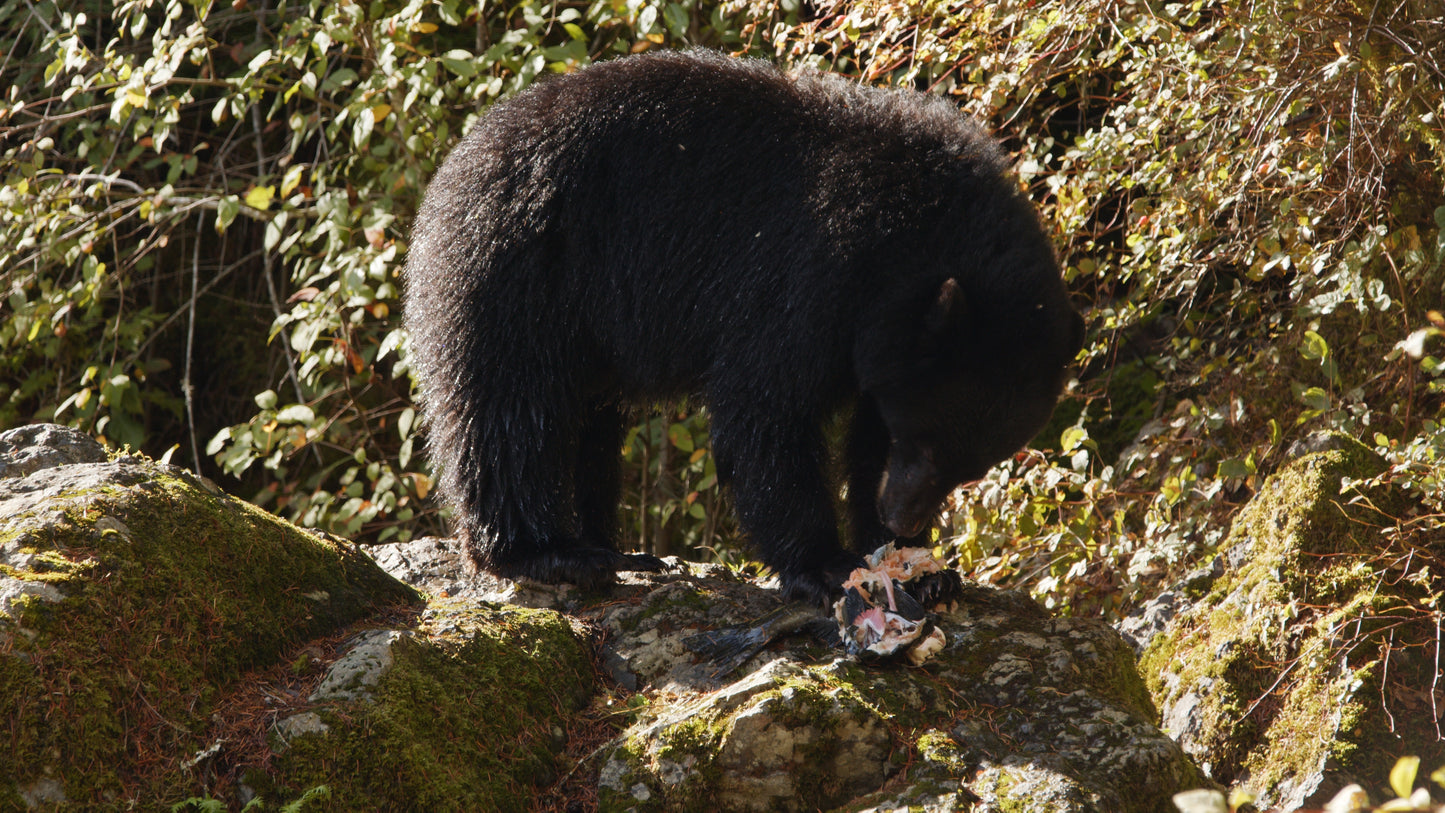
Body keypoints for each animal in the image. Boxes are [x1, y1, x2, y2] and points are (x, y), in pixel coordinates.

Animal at [407, 46, 1086, 603]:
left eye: (972, 465)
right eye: (924, 441)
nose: (904, 520)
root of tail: (450, 168)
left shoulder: (886, 343)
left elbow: (863, 435)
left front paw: (921, 568)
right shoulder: (807, 274)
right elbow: (766, 406)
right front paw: (827, 564)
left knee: (587, 421)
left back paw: (610, 547)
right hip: (524, 272)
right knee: (513, 408)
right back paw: (548, 554)